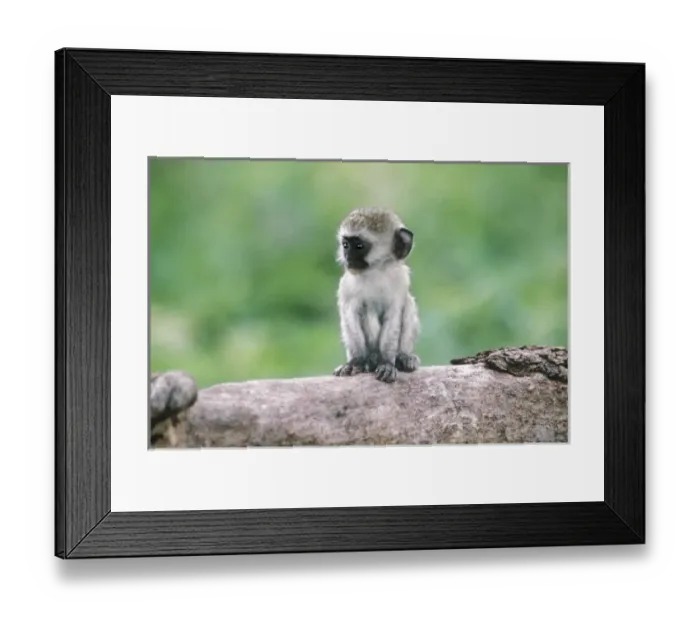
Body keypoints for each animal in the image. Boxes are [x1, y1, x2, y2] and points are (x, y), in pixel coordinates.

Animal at [333, 207, 420, 383]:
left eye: (359, 246)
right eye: (345, 245)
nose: (348, 258)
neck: (375, 272)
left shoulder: (400, 281)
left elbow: (393, 317)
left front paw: (387, 362)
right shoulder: (346, 286)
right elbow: (350, 316)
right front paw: (355, 361)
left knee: (409, 304)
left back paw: (403, 357)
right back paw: (369, 360)